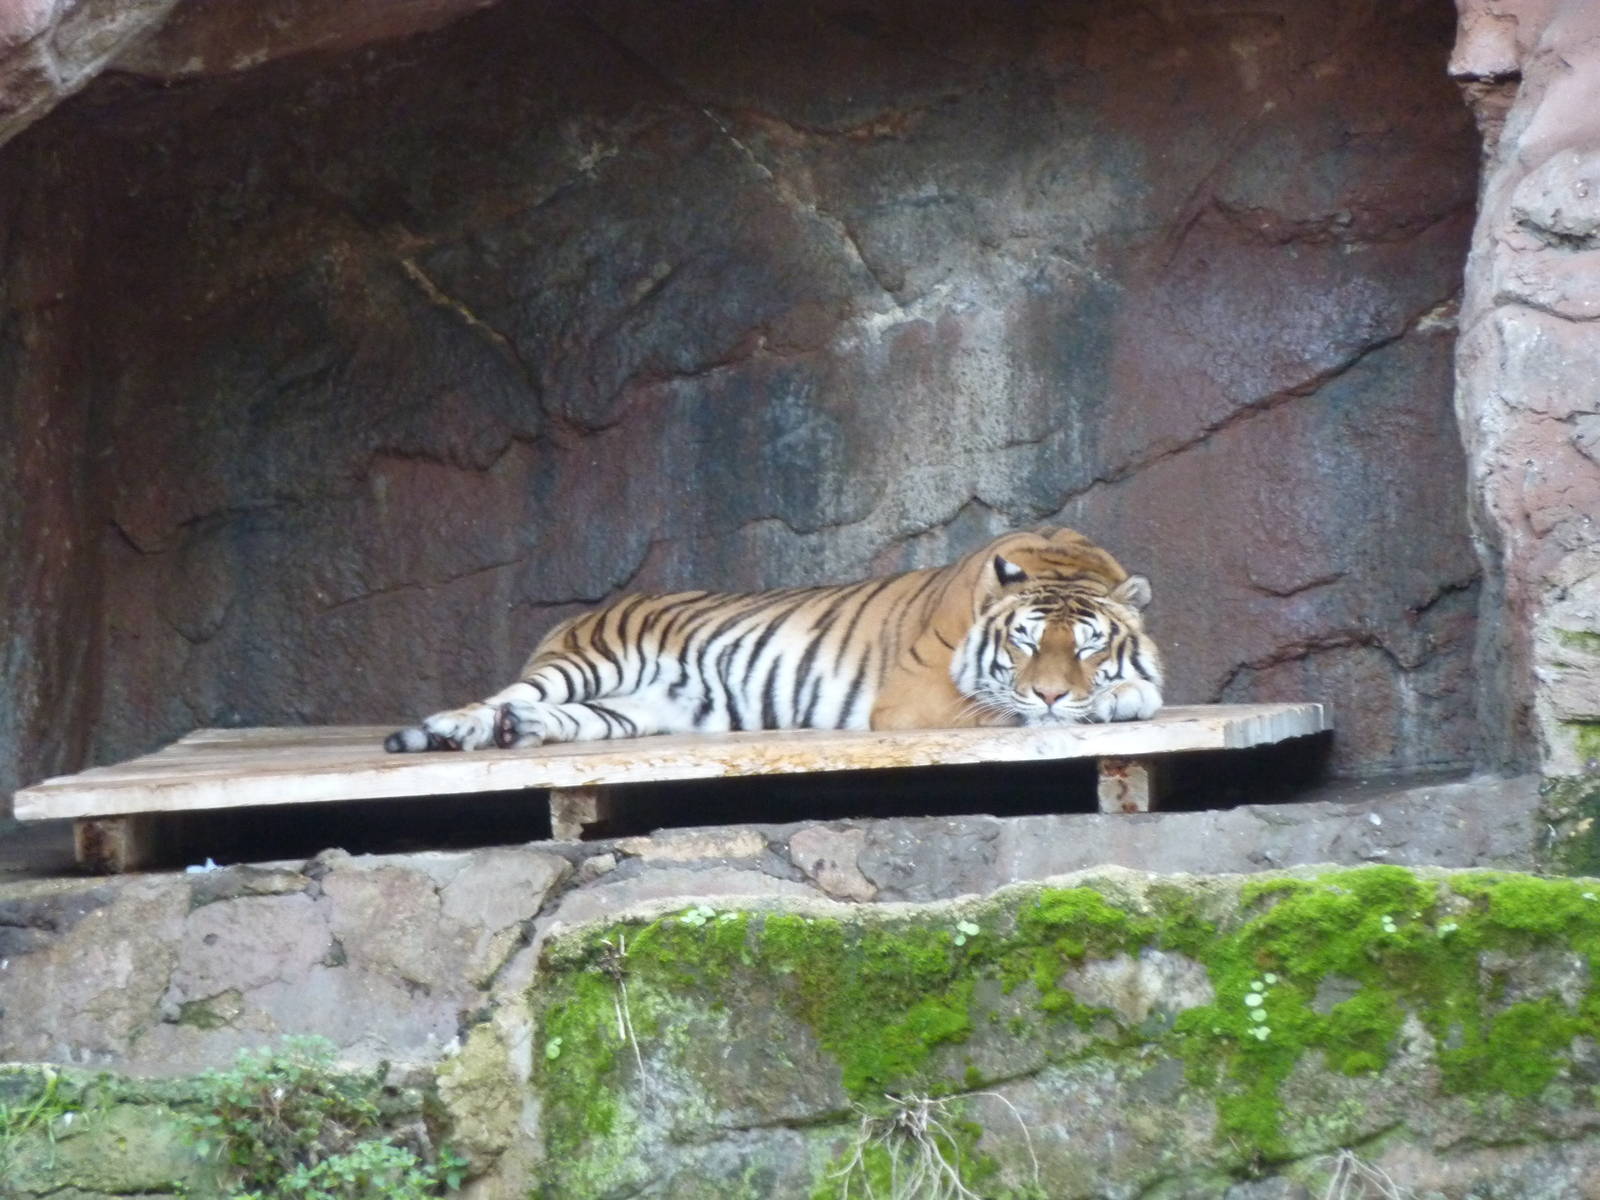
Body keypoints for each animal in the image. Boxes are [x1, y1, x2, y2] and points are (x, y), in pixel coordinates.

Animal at [384, 526, 1163, 753]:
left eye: (1087, 645)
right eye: (1025, 644)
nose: (1055, 694)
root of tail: (572, 617)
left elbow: (1143, 692)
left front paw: (1120, 698)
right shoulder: (915, 699)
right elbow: (1002, 709)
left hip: (635, 711)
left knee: (562, 717)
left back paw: (522, 730)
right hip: (586, 664)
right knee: (504, 694)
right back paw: (456, 729)